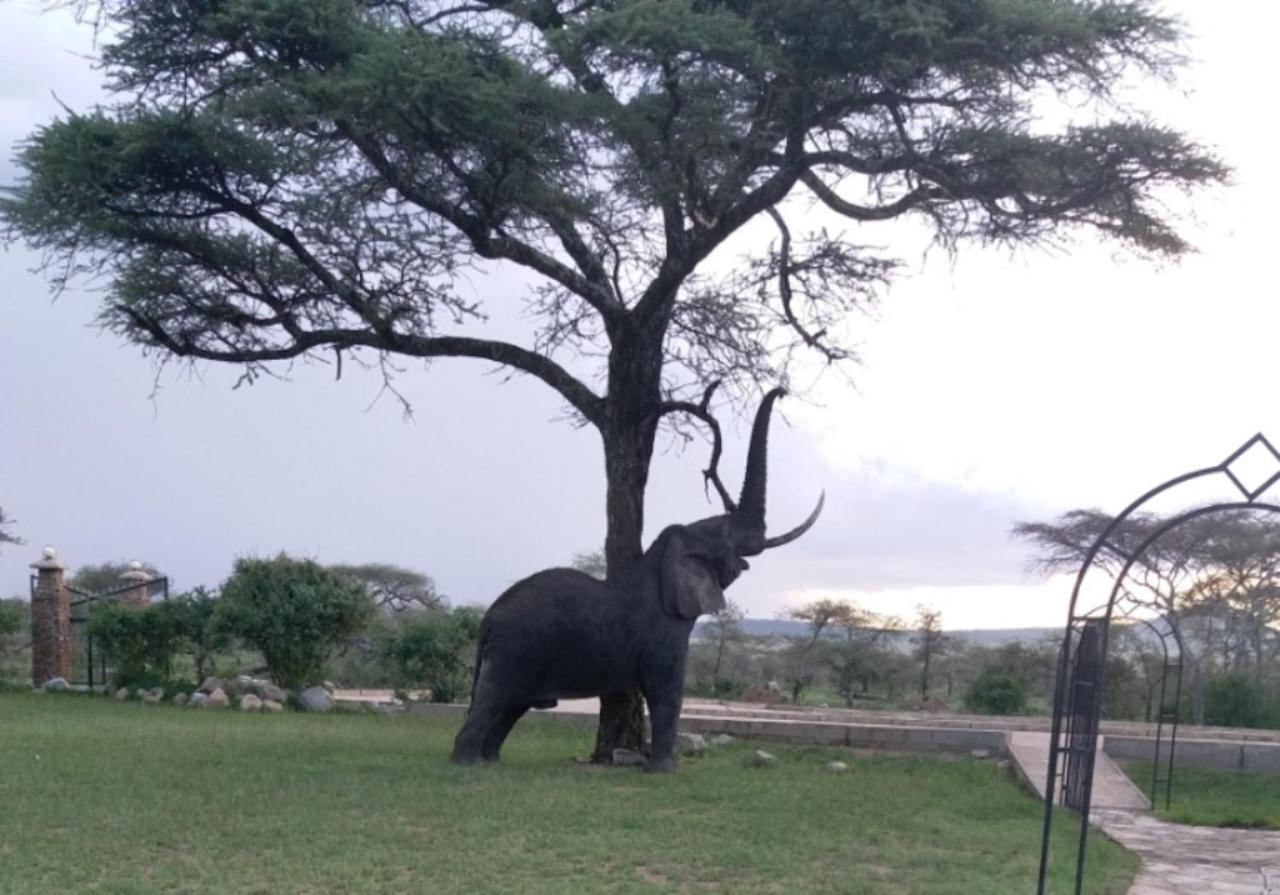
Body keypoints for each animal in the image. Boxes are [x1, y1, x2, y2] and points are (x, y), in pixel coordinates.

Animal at [455, 389, 824, 773]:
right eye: (724, 537)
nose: (783, 391)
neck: (666, 555)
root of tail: (487, 618)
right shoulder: (663, 632)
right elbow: (667, 691)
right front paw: (663, 771)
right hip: (517, 647)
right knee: (496, 697)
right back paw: (468, 764)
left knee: (511, 706)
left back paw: (489, 760)